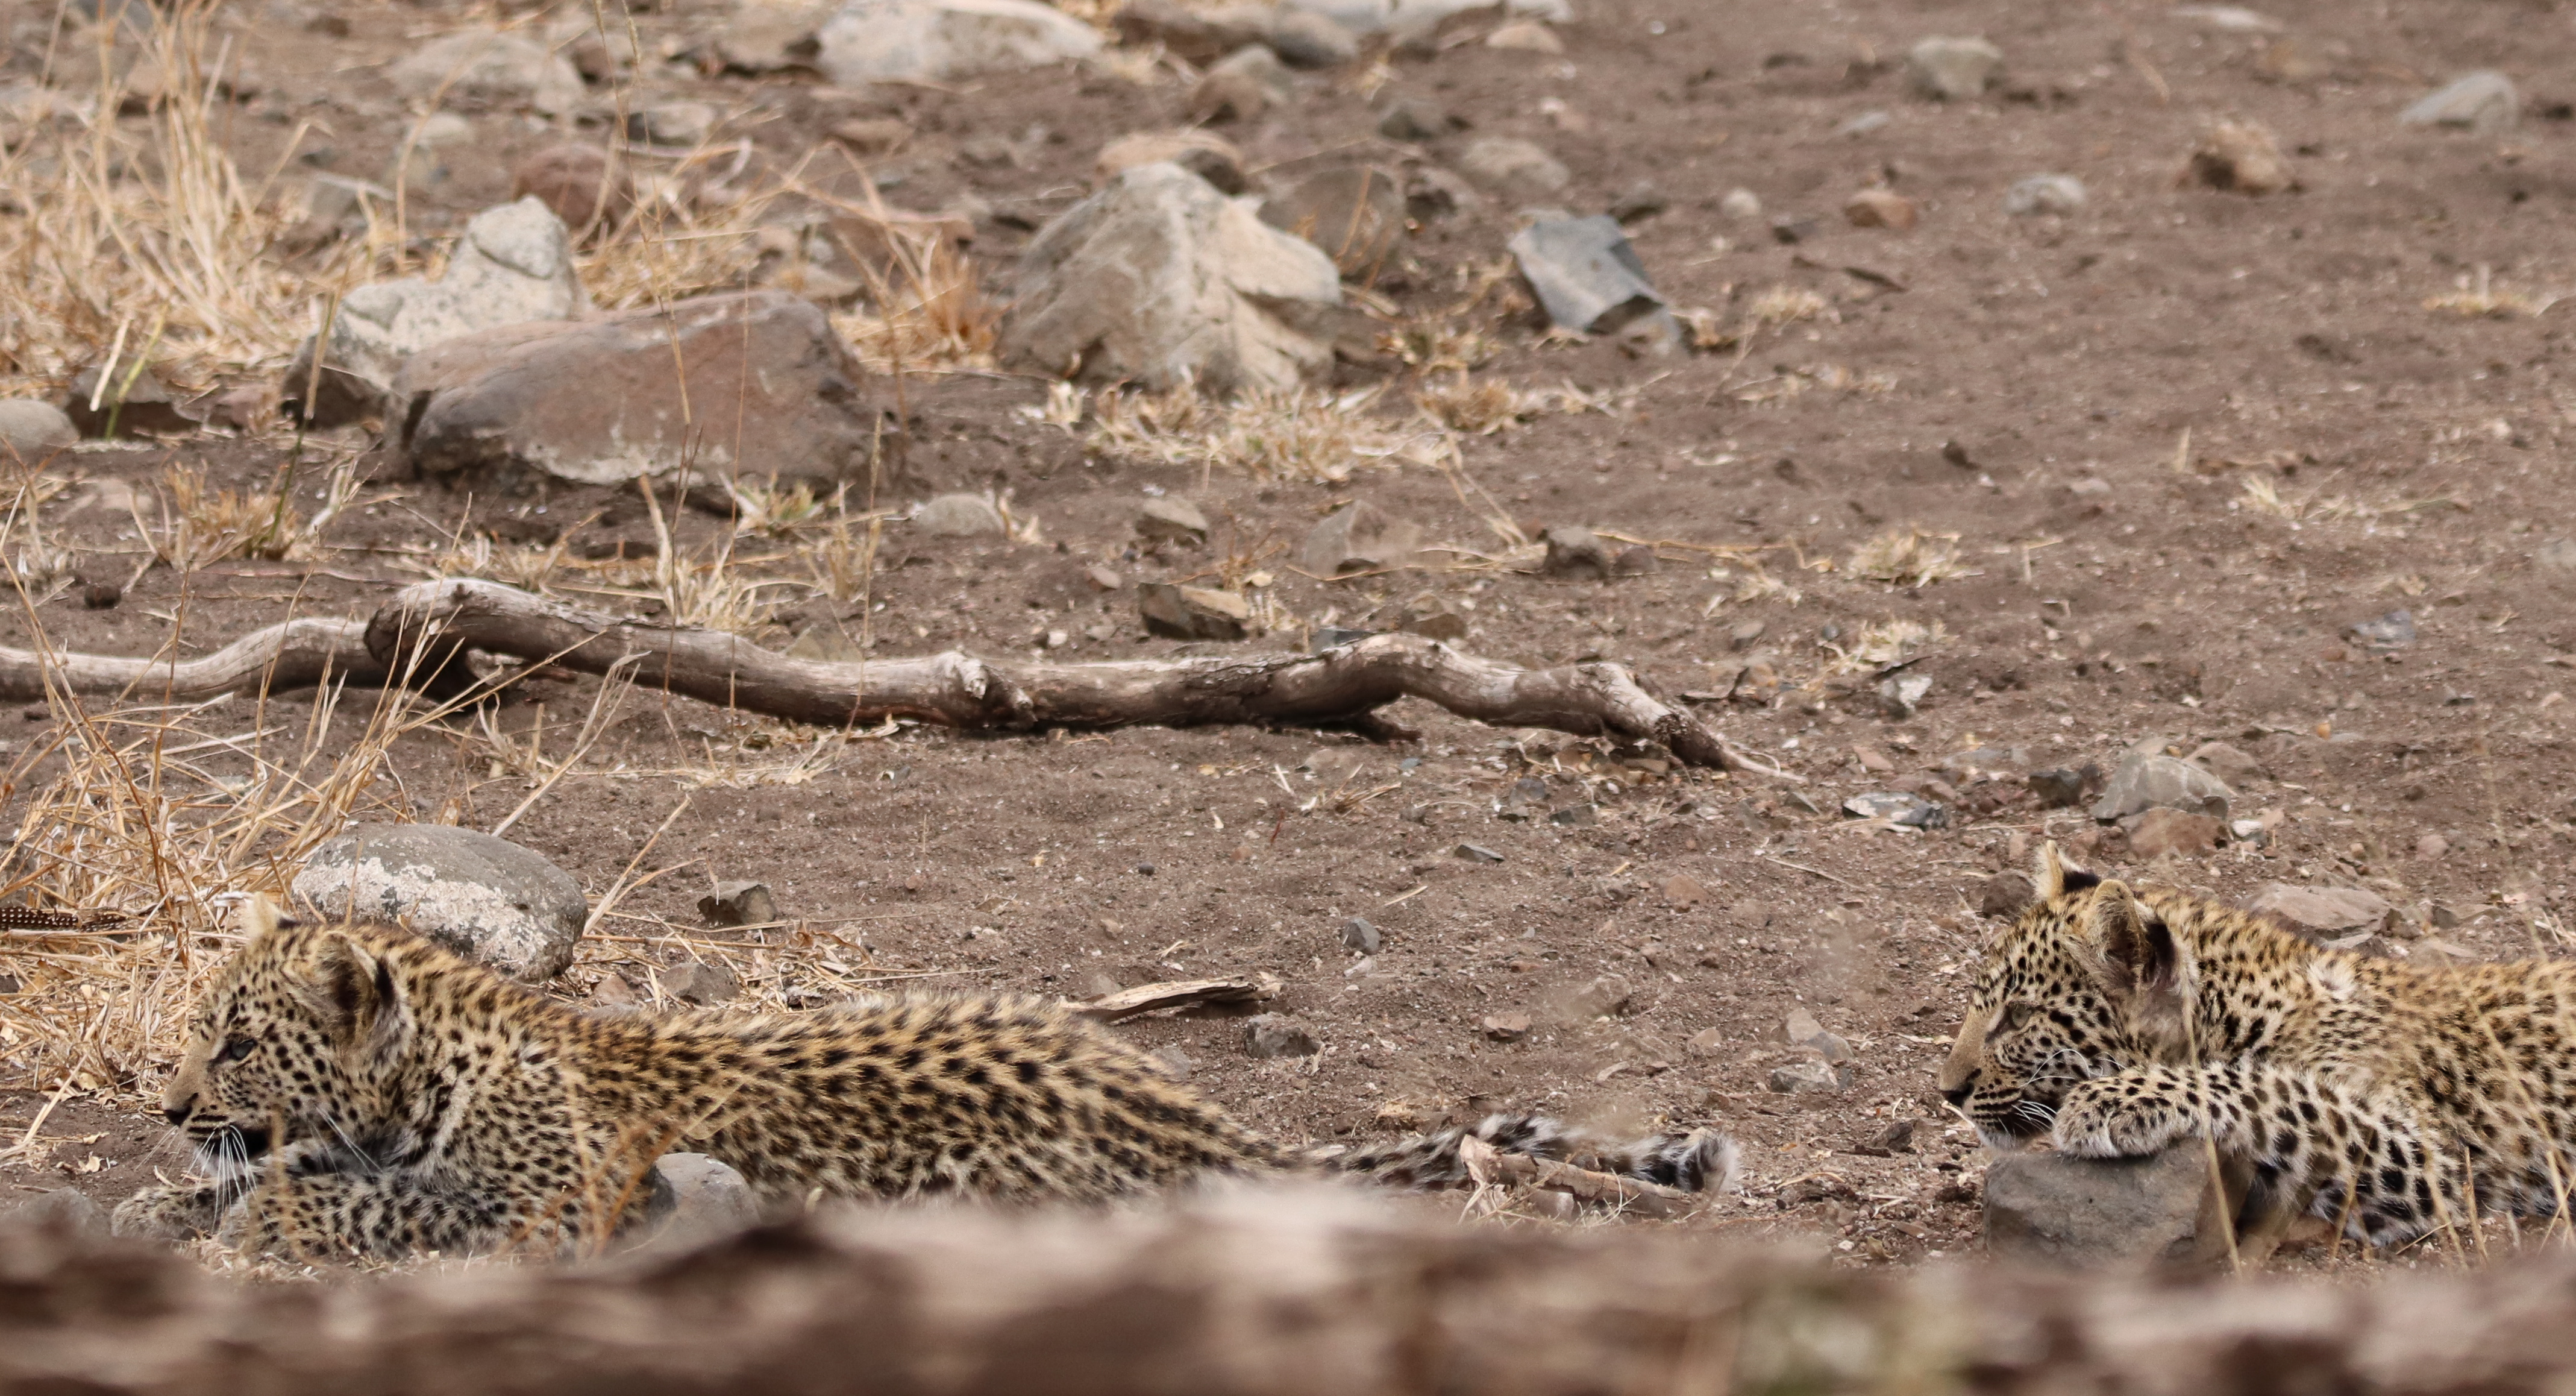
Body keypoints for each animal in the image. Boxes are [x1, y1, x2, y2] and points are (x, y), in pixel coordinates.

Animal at [1942, 842, 2576, 1247]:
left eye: (2018, 1017)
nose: (1948, 1093)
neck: (2245, 1010)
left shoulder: (2430, 1160)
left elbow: (2267, 1086)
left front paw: (2109, 1101)